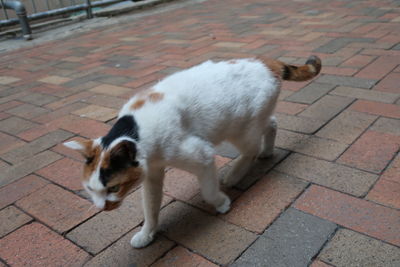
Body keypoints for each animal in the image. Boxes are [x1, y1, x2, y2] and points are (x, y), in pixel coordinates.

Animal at [65, 55, 322, 249]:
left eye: (113, 188)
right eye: (90, 189)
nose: (101, 208)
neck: (137, 128)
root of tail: (265, 62)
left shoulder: (202, 156)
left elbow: (208, 190)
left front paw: (221, 203)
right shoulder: (152, 174)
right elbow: (151, 207)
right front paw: (147, 234)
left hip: (241, 129)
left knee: (252, 148)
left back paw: (235, 174)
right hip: (250, 123)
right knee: (272, 123)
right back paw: (268, 152)